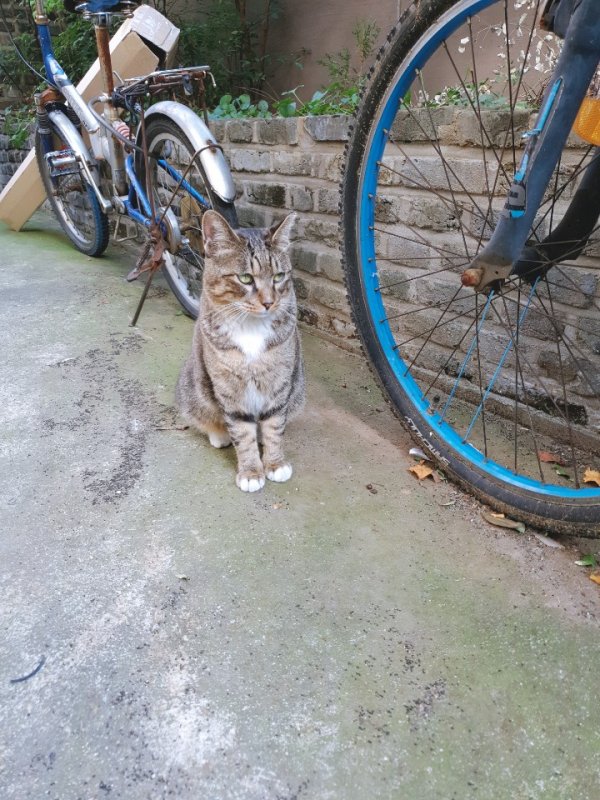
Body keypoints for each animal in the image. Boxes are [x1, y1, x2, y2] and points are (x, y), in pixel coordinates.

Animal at [175, 209, 304, 490]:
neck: (251, 328)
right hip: (193, 390)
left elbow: (274, 426)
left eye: (278, 277)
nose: (269, 302)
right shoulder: (229, 391)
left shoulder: (279, 384)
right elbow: (242, 434)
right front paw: (251, 472)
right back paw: (219, 435)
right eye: (245, 278)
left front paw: (275, 464)